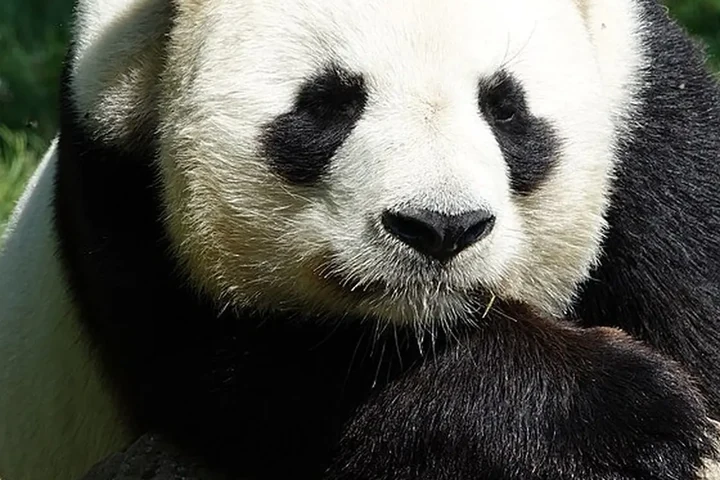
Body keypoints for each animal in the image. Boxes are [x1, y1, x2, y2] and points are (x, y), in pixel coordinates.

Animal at [1, 0, 720, 478]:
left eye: (505, 107)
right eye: (330, 102)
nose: (440, 227)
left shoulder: (653, 113)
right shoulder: (119, 178)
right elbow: (263, 373)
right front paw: (630, 415)